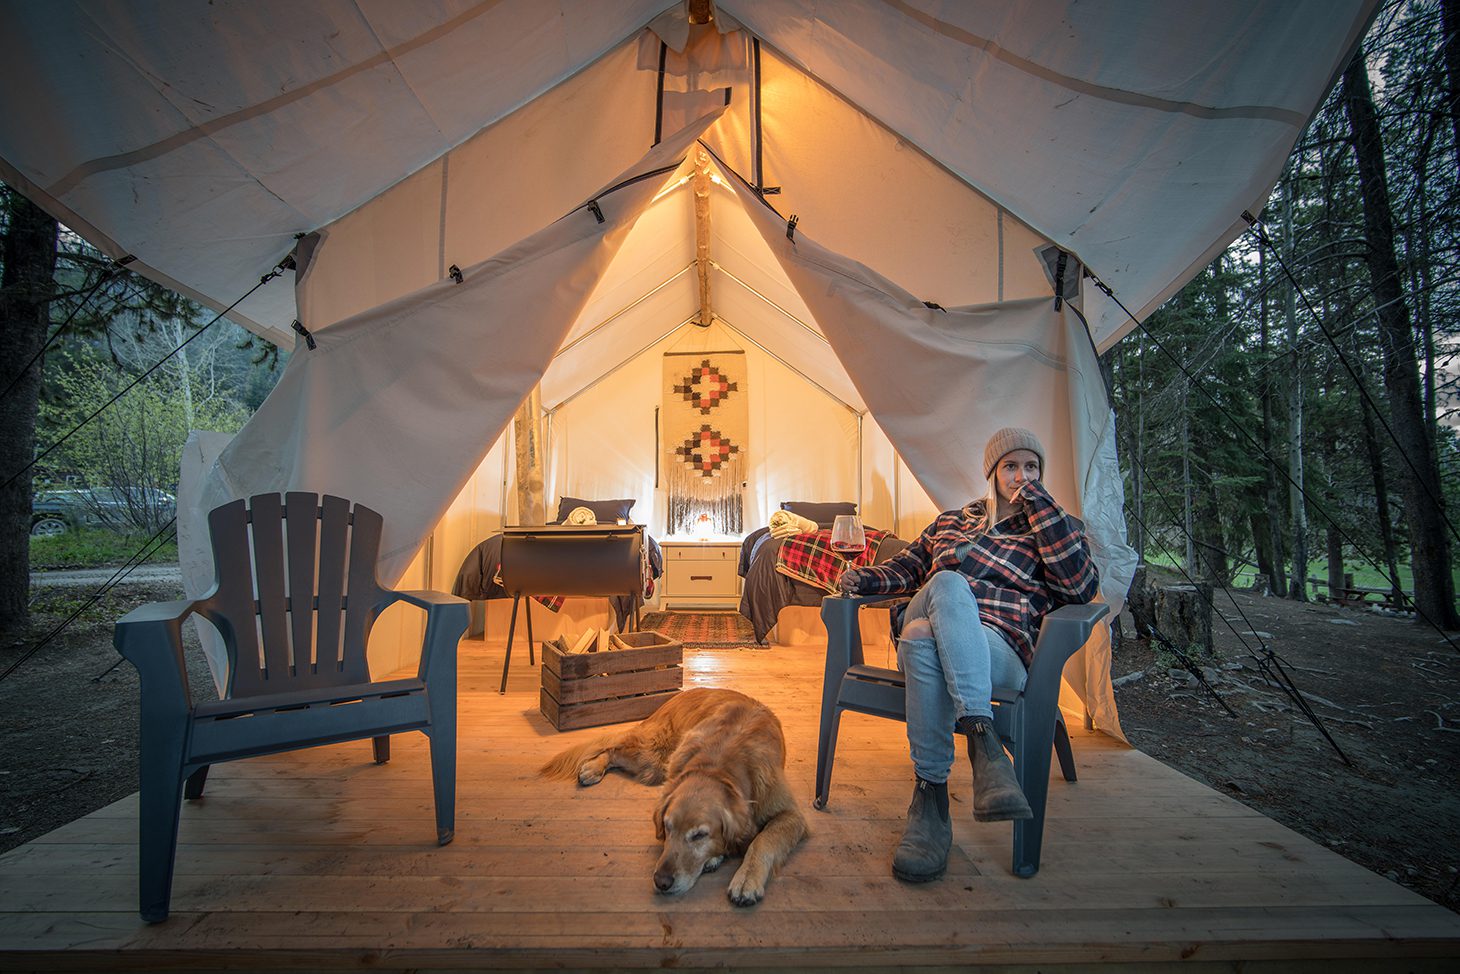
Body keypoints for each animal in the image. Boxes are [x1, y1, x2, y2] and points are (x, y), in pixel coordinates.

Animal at [540, 686, 811, 905]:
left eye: (700, 835)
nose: (661, 882)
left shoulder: (791, 815)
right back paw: (592, 768)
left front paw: (745, 878)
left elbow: (763, 840)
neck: (718, 766)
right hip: (651, 754)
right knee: (613, 749)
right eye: (667, 827)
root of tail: (679, 694)